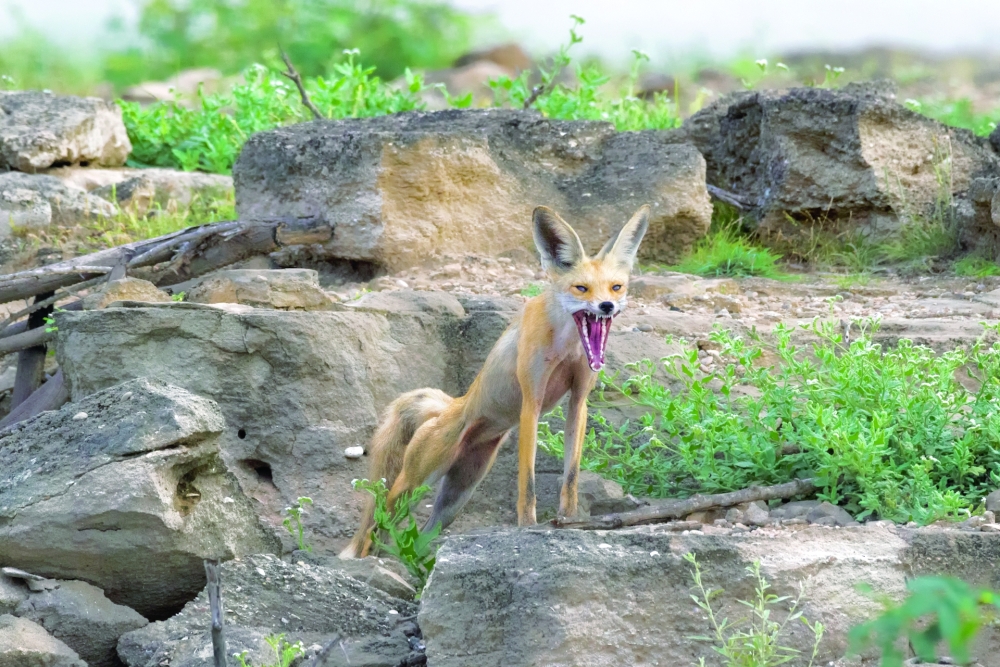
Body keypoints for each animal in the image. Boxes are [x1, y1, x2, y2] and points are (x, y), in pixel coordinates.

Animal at [339, 203, 650, 559]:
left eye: (616, 287)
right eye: (581, 288)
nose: (606, 306)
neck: (567, 343)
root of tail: (452, 406)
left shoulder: (578, 402)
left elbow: (570, 477)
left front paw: (571, 522)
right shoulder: (531, 402)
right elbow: (527, 483)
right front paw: (528, 528)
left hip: (457, 496)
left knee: (421, 538)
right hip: (416, 481)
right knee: (377, 520)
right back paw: (365, 561)